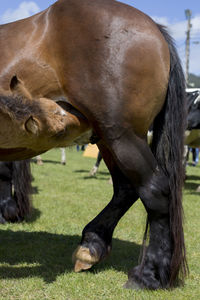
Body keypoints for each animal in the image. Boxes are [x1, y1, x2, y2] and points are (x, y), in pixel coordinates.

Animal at [0, 0, 188, 290]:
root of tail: (155, 29)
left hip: (122, 136)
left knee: (156, 191)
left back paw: (149, 274)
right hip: (107, 138)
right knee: (125, 189)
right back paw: (92, 246)